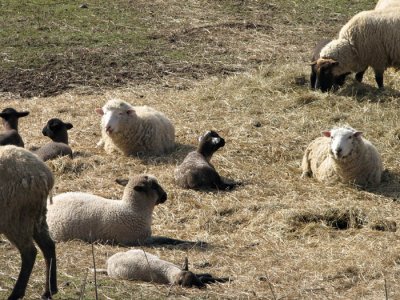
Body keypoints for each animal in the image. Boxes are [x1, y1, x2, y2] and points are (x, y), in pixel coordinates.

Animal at [0, 145, 57, 300]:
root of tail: (45, 174)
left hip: (15, 218)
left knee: (29, 253)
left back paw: (16, 294)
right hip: (36, 216)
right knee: (49, 246)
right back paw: (49, 291)